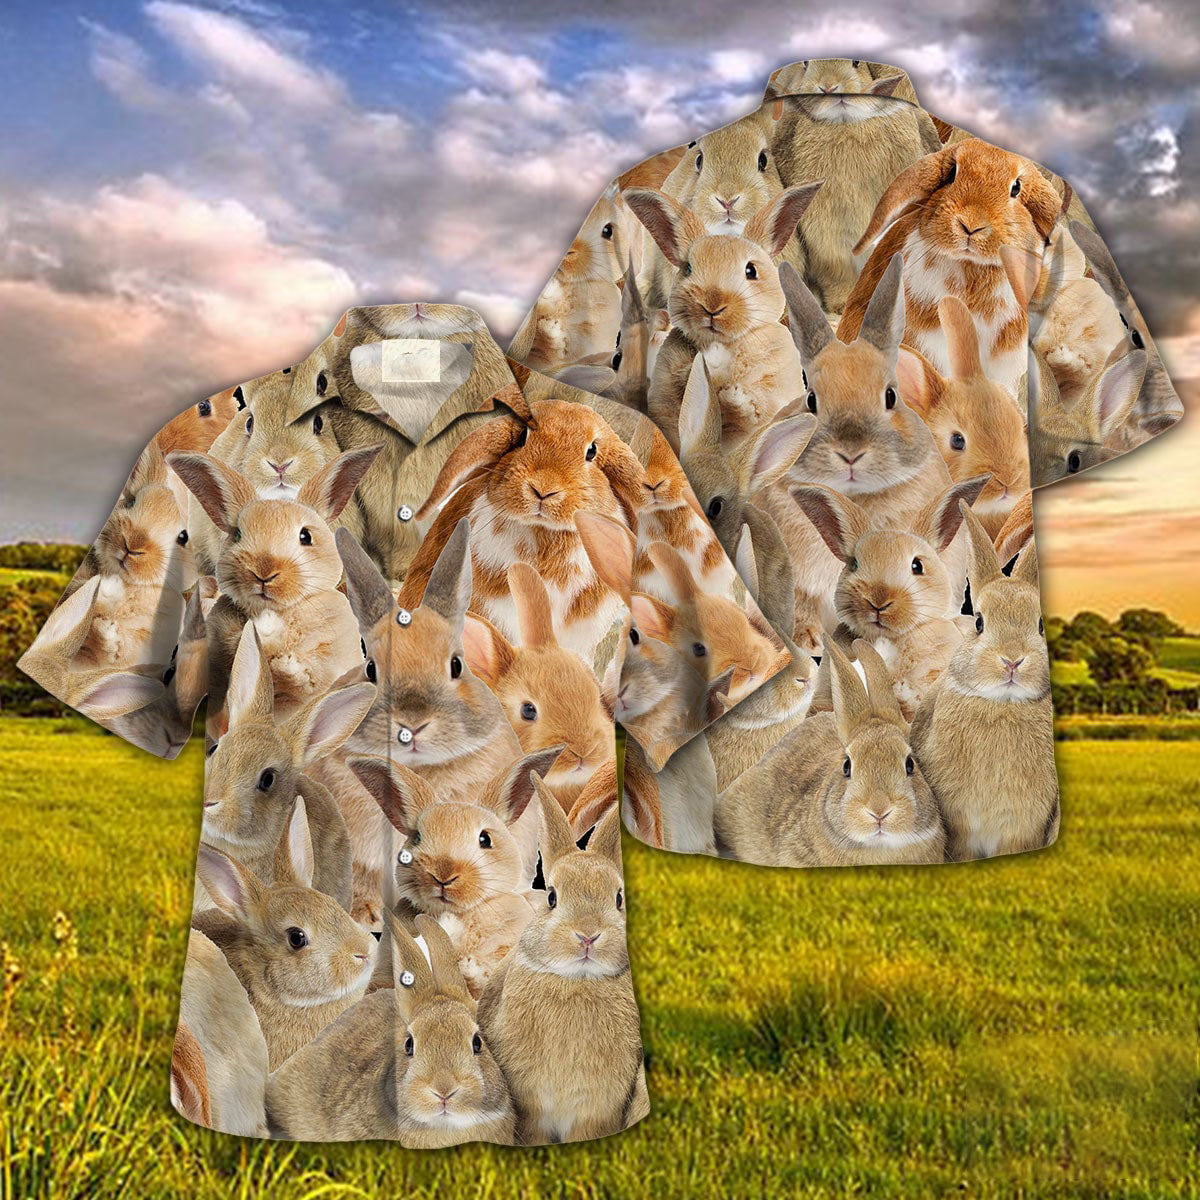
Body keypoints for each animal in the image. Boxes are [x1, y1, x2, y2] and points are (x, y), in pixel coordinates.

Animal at [477, 777, 648, 1144]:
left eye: (618, 898)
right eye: (552, 897)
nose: (587, 935)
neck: (576, 980)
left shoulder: (595, 1111)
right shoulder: (532, 1113)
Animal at [910, 502, 1058, 861]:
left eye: (1040, 625)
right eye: (978, 622)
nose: (1012, 660)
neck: (1002, 704)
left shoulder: (1022, 829)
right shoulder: (961, 830)